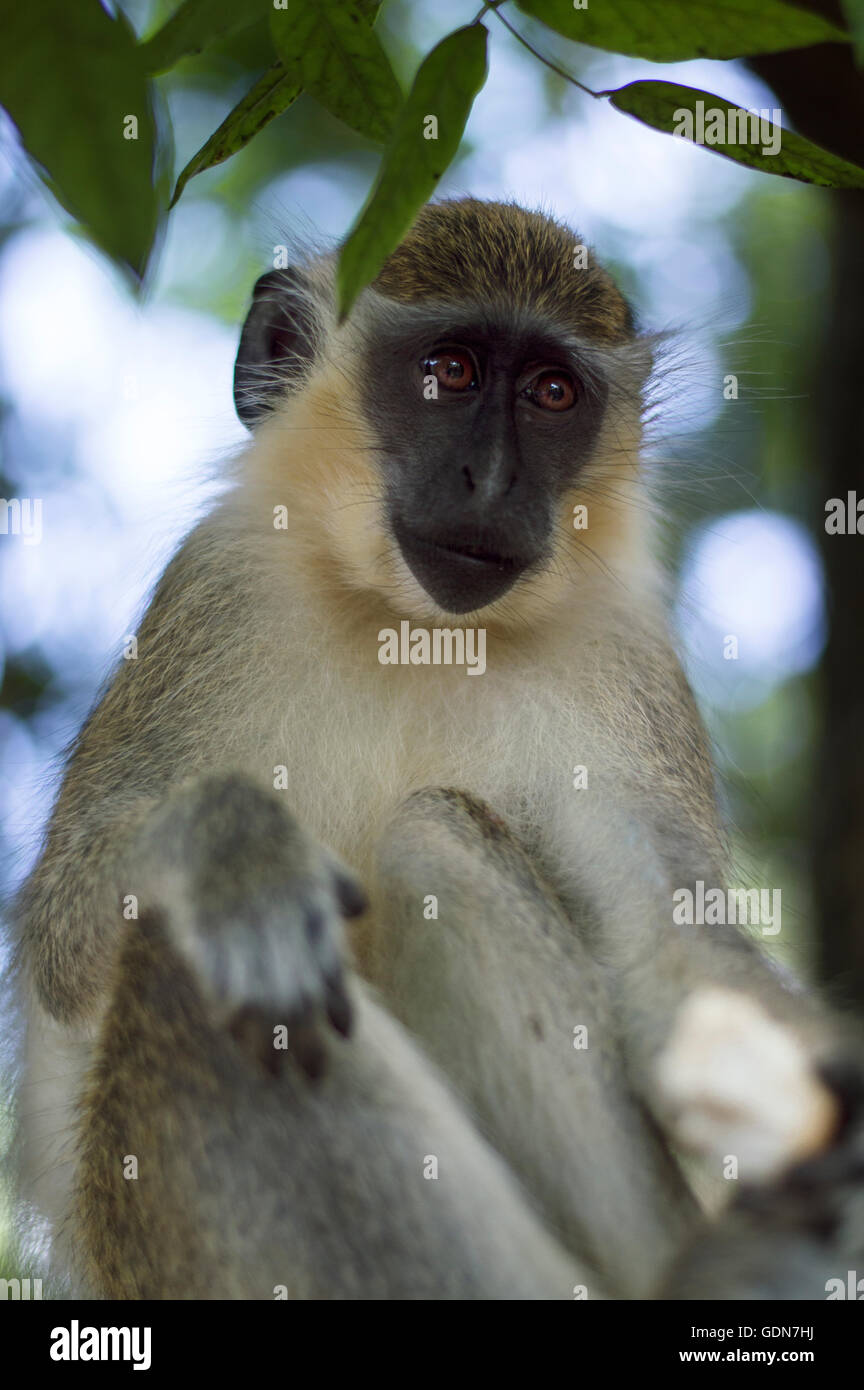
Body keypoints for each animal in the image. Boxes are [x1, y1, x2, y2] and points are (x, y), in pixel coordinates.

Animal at [11, 198, 864, 1301]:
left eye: (552, 393)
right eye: (449, 371)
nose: (491, 480)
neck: (410, 625)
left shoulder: (627, 661)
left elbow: (669, 955)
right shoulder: (209, 593)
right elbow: (62, 928)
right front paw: (230, 849)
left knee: (434, 838)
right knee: (183, 965)